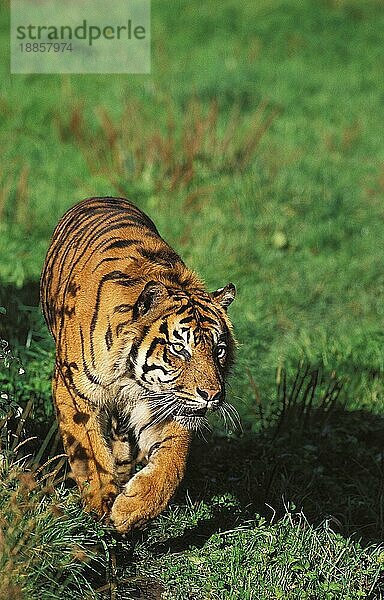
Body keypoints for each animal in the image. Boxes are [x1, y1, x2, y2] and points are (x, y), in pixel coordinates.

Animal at [39, 197, 237, 528]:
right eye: (179, 348)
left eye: (219, 350)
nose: (212, 395)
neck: (130, 377)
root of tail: (101, 197)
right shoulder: (73, 391)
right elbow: (90, 454)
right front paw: (101, 504)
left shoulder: (163, 405)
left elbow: (172, 462)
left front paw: (131, 509)